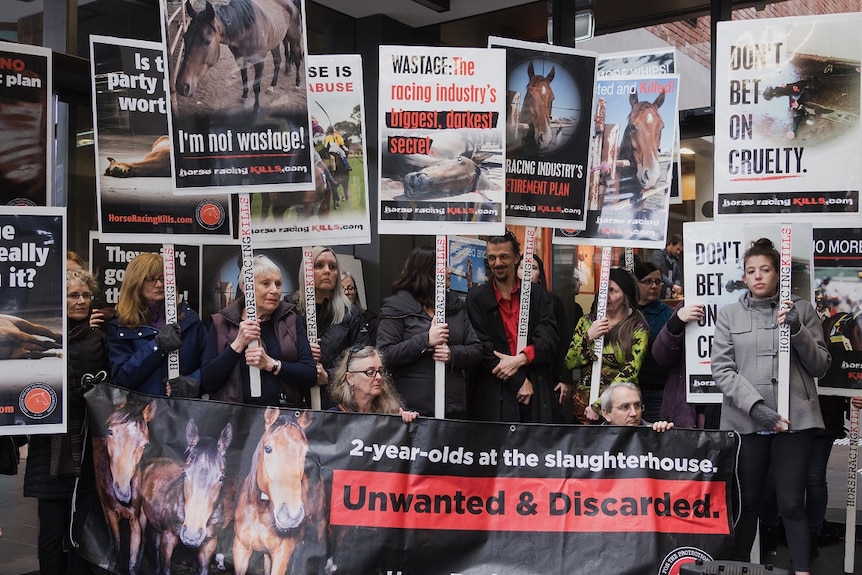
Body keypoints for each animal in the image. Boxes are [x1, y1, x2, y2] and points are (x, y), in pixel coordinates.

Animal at [93, 400, 157, 575]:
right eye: (110, 432)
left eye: (144, 444)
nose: (123, 492)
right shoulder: (110, 511)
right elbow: (116, 542)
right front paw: (107, 562)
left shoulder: (136, 519)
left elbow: (133, 560)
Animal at [133, 418, 233, 575]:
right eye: (185, 473)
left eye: (221, 478)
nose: (191, 535)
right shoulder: (168, 537)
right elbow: (166, 568)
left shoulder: (209, 543)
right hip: (142, 516)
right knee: (143, 542)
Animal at [235, 408, 316, 575]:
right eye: (268, 449)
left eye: (305, 453)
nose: (290, 516)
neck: (260, 512)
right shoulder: (241, 549)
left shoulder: (282, 555)